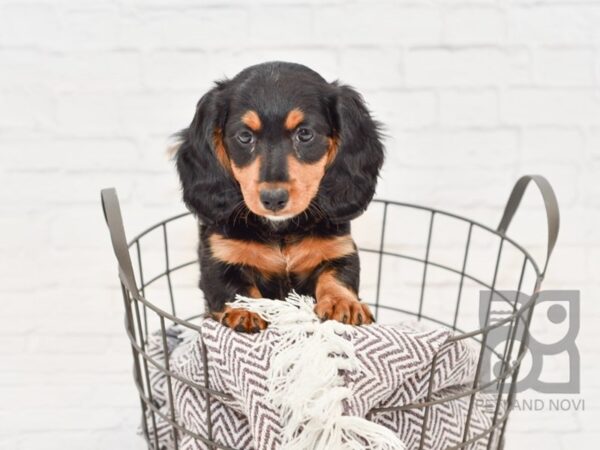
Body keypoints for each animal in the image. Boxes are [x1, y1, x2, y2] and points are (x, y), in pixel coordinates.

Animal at [175, 61, 384, 332]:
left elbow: (337, 276)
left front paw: (343, 303)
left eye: (304, 134)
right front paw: (246, 309)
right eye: (245, 136)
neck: (280, 230)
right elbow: (234, 289)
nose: (273, 199)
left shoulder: (339, 249)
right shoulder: (219, 258)